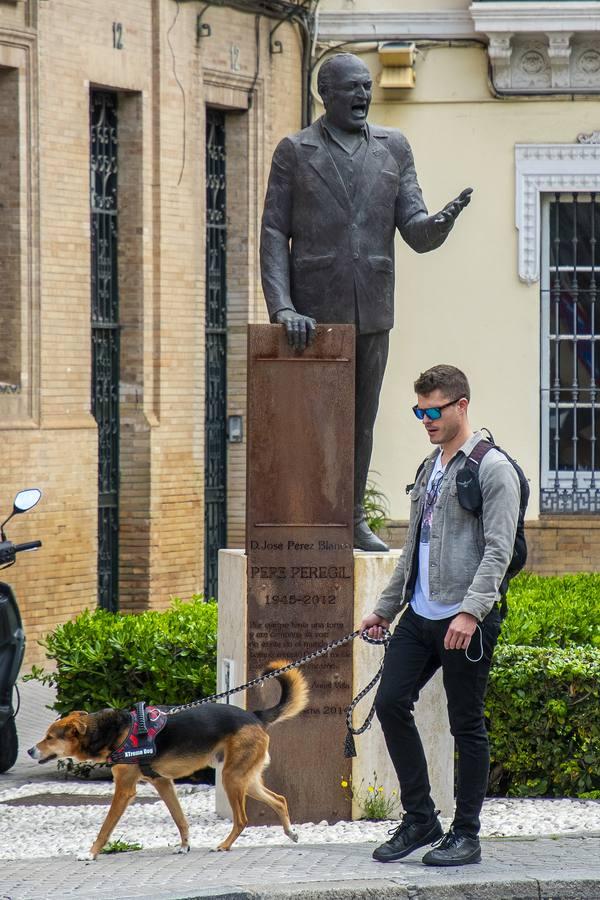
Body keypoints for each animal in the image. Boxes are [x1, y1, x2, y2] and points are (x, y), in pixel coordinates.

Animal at [28, 660, 308, 856]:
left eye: (49, 737)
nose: (30, 750)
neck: (114, 731)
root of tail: (256, 716)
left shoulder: (124, 790)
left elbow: (106, 827)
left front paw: (90, 853)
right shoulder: (162, 782)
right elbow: (180, 818)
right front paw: (184, 846)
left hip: (232, 778)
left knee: (242, 819)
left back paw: (224, 845)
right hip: (243, 778)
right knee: (279, 800)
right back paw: (290, 832)